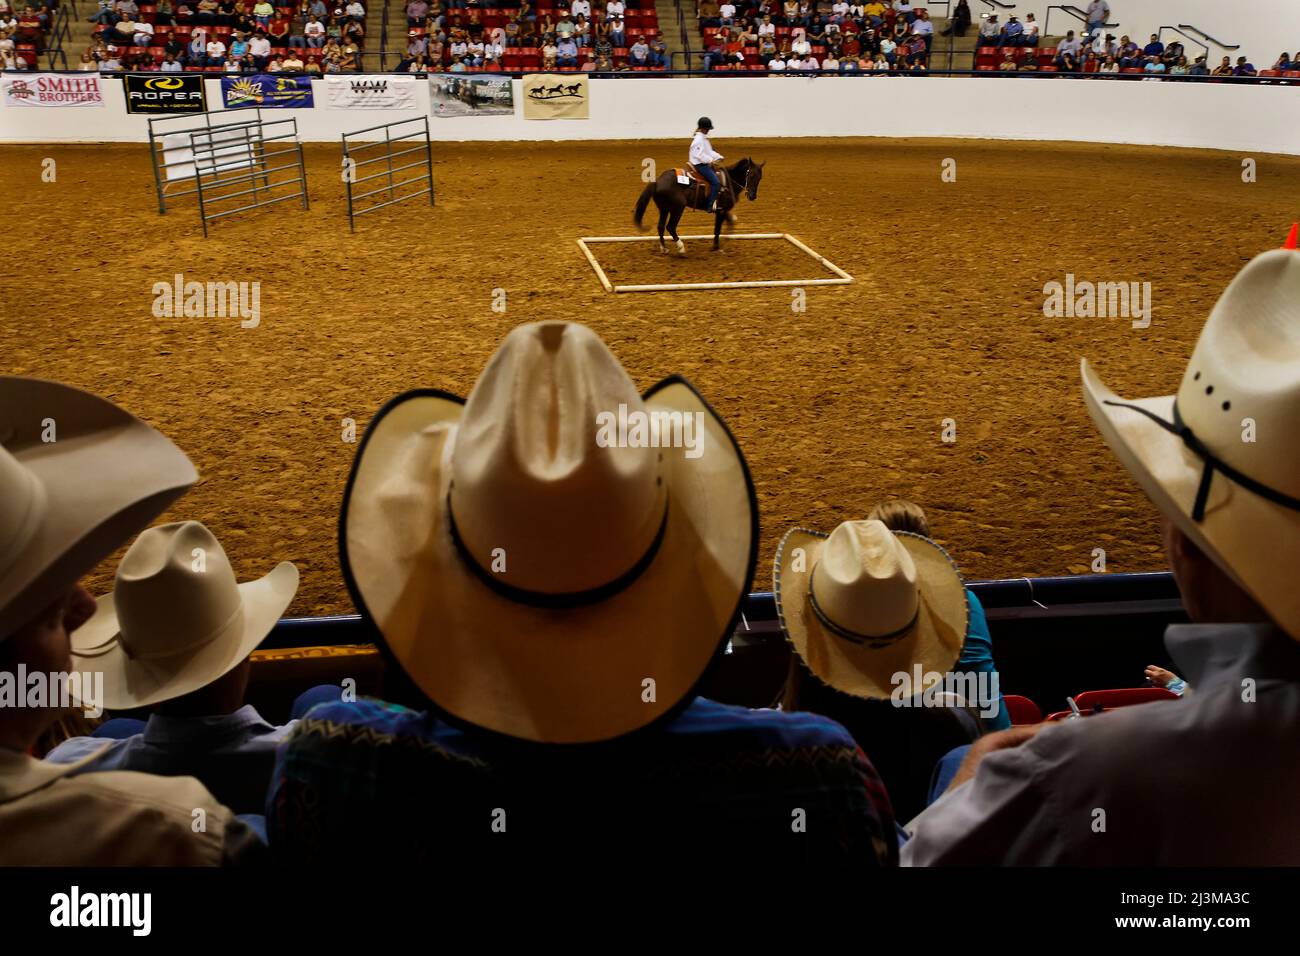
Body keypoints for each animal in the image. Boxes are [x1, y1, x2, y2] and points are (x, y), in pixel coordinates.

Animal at [634, 158, 764, 254]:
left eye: (760, 178)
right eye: (751, 175)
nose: (752, 196)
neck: (728, 182)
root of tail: (657, 181)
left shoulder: (722, 210)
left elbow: (731, 222)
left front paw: (721, 242)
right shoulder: (721, 211)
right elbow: (717, 229)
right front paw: (717, 247)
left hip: (664, 209)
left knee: (660, 226)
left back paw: (664, 249)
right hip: (677, 208)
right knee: (670, 227)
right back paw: (681, 248)